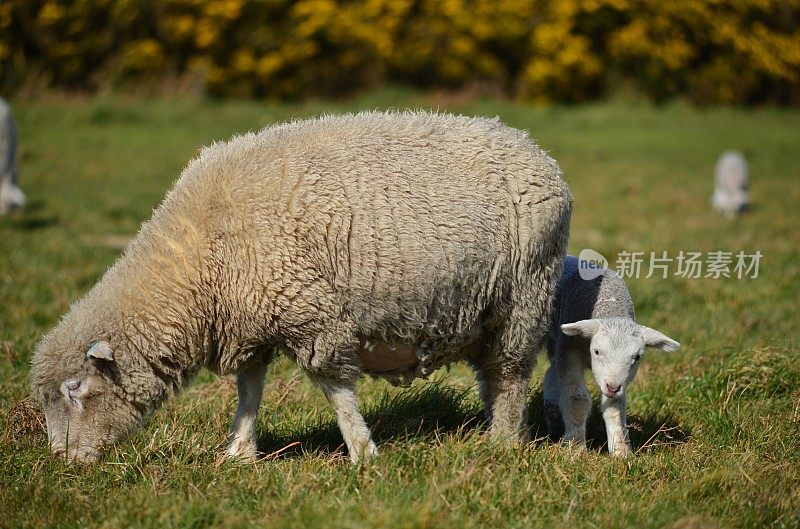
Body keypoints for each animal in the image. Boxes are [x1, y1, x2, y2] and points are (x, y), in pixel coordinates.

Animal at [28, 111, 572, 462]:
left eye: (76, 390)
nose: (62, 463)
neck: (198, 260)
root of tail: (535, 148)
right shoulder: (252, 320)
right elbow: (249, 390)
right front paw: (239, 452)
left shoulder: (310, 314)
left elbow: (336, 389)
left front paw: (362, 452)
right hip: (488, 312)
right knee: (492, 376)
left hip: (524, 297)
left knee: (510, 376)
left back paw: (502, 442)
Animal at [540, 254, 680, 456]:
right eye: (597, 351)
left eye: (637, 357)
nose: (612, 387)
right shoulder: (568, 350)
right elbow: (577, 399)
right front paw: (574, 446)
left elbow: (615, 407)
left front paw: (621, 451)